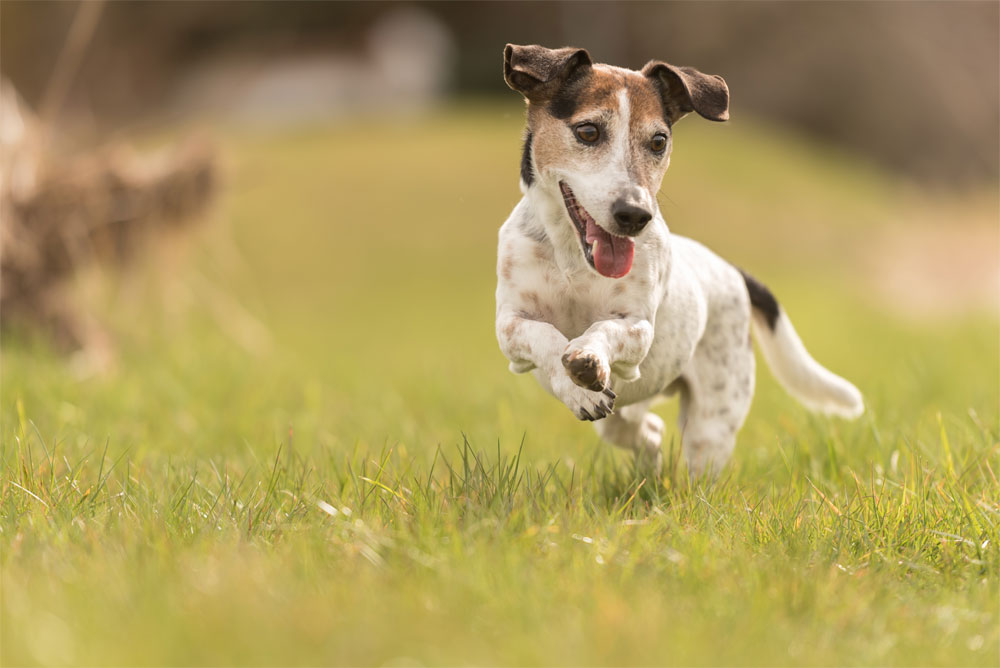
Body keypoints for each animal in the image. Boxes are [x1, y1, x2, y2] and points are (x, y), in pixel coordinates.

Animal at [496, 44, 864, 478]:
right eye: (588, 131)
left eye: (658, 141)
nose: (635, 215)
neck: (575, 262)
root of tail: (734, 272)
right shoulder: (510, 324)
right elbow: (543, 336)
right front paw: (576, 386)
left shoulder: (637, 329)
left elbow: (605, 328)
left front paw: (588, 356)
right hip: (629, 411)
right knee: (643, 430)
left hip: (711, 420)